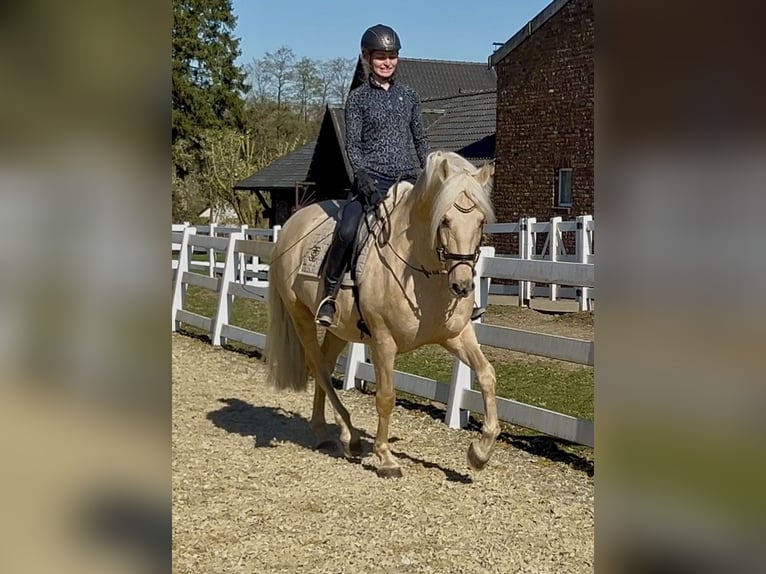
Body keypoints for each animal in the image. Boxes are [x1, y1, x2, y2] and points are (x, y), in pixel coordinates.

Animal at [266, 150, 499, 478]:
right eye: (445, 220)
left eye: (480, 222)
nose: (462, 285)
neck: (420, 272)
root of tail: (291, 224)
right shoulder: (383, 341)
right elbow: (386, 397)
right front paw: (386, 458)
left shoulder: (456, 335)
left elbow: (487, 375)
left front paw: (480, 452)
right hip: (300, 316)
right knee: (319, 367)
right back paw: (348, 434)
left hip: (340, 328)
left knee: (325, 364)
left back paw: (328, 432)